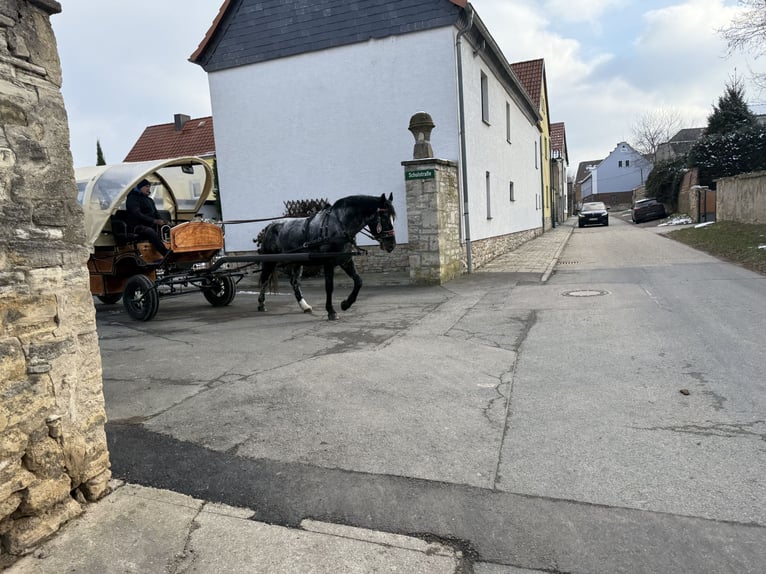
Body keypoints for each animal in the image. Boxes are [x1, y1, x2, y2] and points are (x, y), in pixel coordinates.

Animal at [256, 192, 400, 320]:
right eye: (385, 217)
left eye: (394, 218)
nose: (391, 245)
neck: (339, 226)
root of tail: (270, 226)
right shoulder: (328, 262)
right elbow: (329, 287)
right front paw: (331, 311)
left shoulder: (346, 260)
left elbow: (359, 281)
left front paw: (345, 304)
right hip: (270, 261)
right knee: (264, 280)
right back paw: (261, 304)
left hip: (296, 262)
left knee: (294, 282)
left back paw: (304, 306)